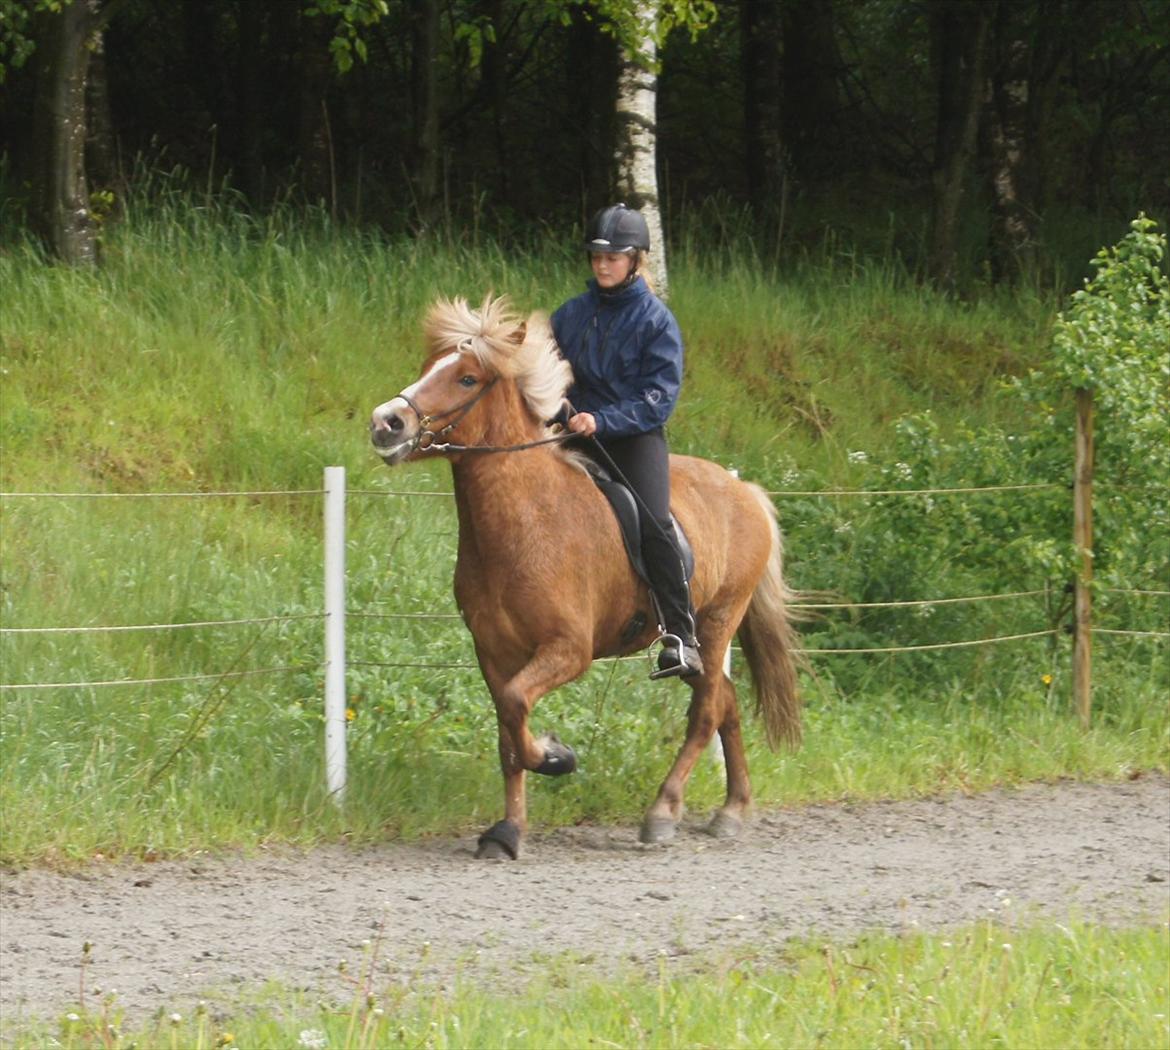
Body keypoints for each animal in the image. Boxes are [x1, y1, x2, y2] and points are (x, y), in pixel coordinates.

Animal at [369, 294, 800, 861]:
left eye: (466, 378)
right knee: (725, 703)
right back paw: (732, 809)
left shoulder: (568, 650)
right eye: (428, 367)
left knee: (707, 712)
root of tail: (744, 490)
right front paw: (508, 831)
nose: (386, 422)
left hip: (715, 622)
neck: (525, 521)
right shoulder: (494, 654)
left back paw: (663, 812)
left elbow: (517, 710)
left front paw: (558, 757)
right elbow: (508, 731)